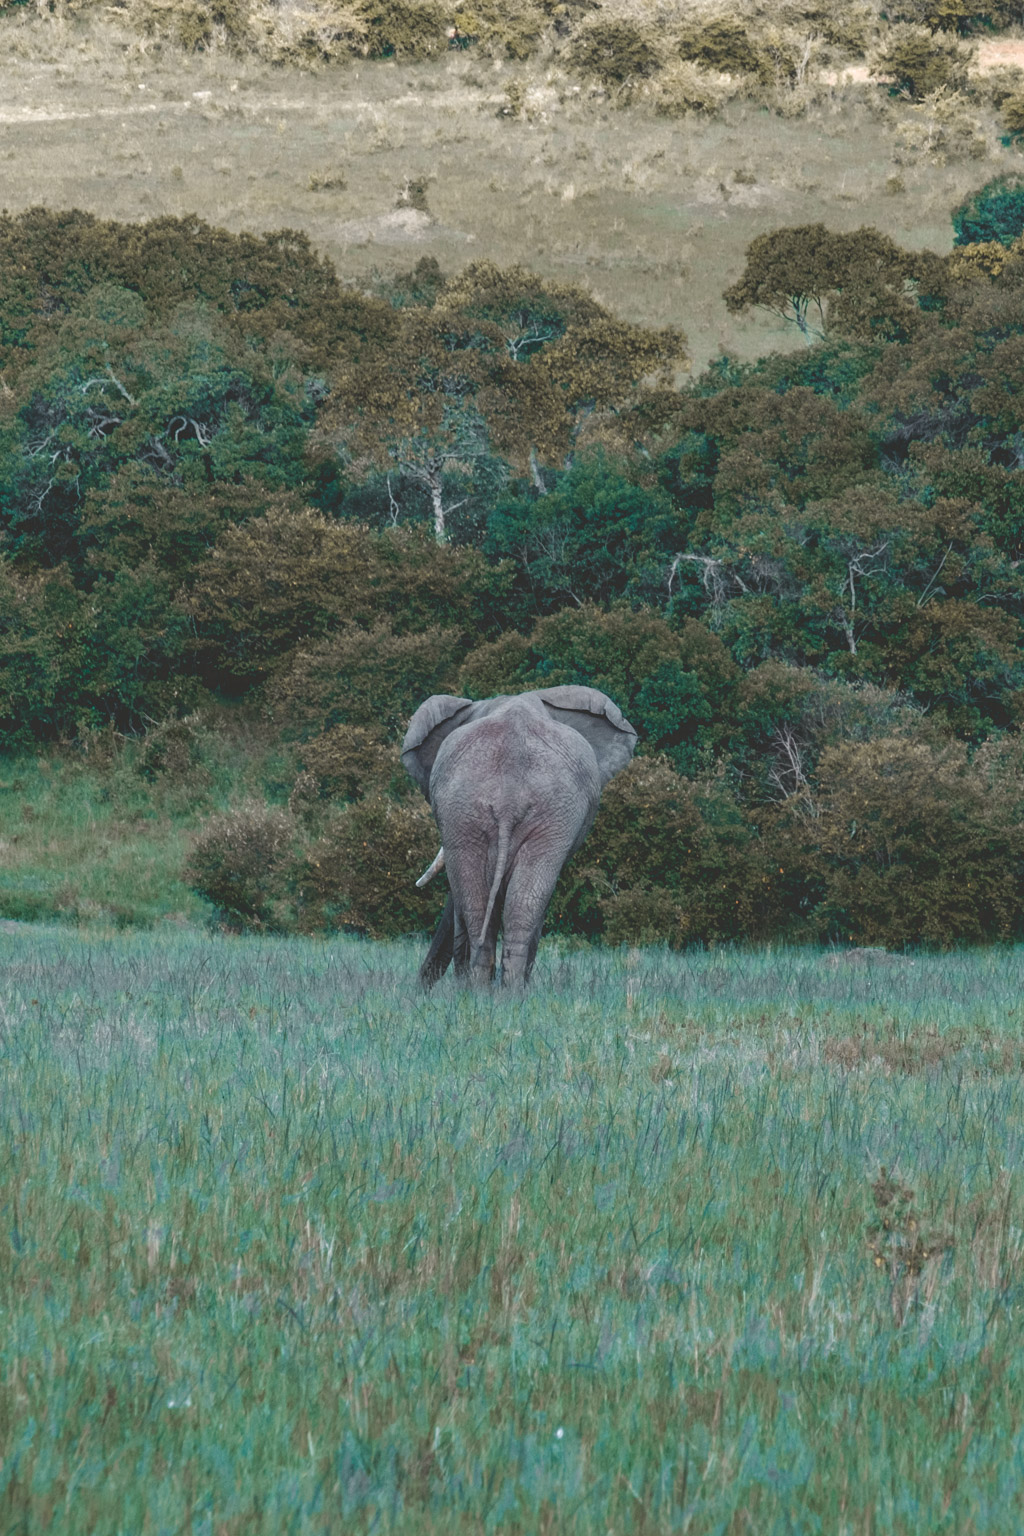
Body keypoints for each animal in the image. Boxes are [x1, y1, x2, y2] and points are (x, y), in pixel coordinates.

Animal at [402, 686, 637, 987]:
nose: (421, 990)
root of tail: (509, 798)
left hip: (506, 814)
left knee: (504, 903)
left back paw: (491, 992)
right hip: (489, 813)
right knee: (509, 904)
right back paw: (496, 991)